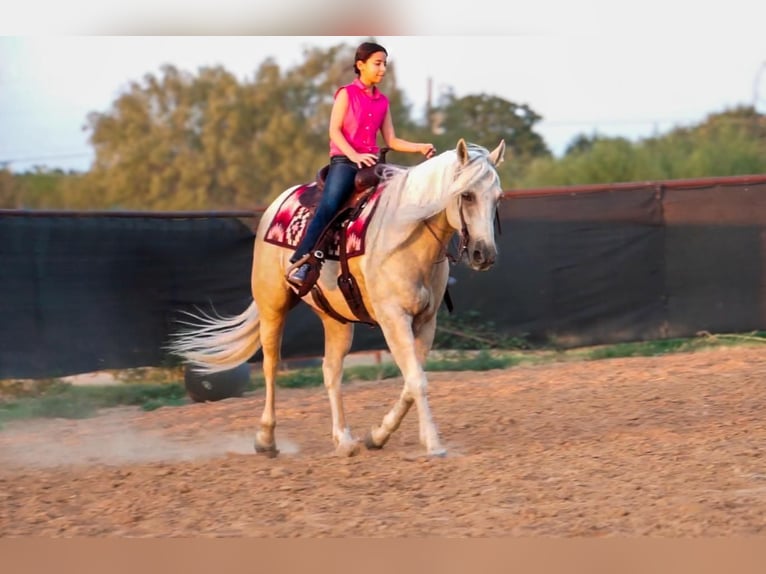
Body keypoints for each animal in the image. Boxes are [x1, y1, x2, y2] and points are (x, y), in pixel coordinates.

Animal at [172, 140, 510, 460]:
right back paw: (266, 440)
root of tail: (276, 205)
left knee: (331, 371)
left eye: (498, 198)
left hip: (336, 320)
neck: (406, 233)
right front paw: (434, 444)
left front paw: (377, 436)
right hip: (272, 306)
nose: (484, 254)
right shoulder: (393, 318)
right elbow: (416, 380)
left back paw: (344, 441)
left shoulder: (426, 322)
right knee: (270, 366)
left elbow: (412, 382)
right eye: (467, 195)